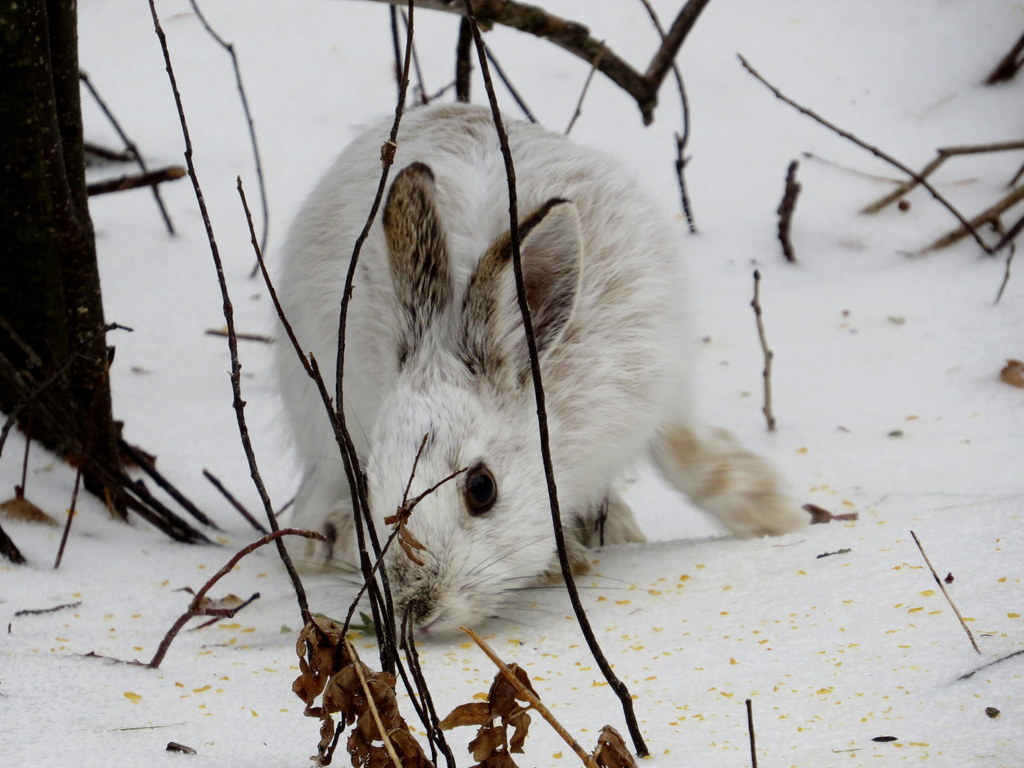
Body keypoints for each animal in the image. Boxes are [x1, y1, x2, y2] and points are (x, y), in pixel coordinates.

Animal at [275, 103, 808, 634]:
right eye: (368, 482)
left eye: (482, 488)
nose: (418, 609)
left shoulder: (656, 379)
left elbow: (684, 452)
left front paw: (775, 513)